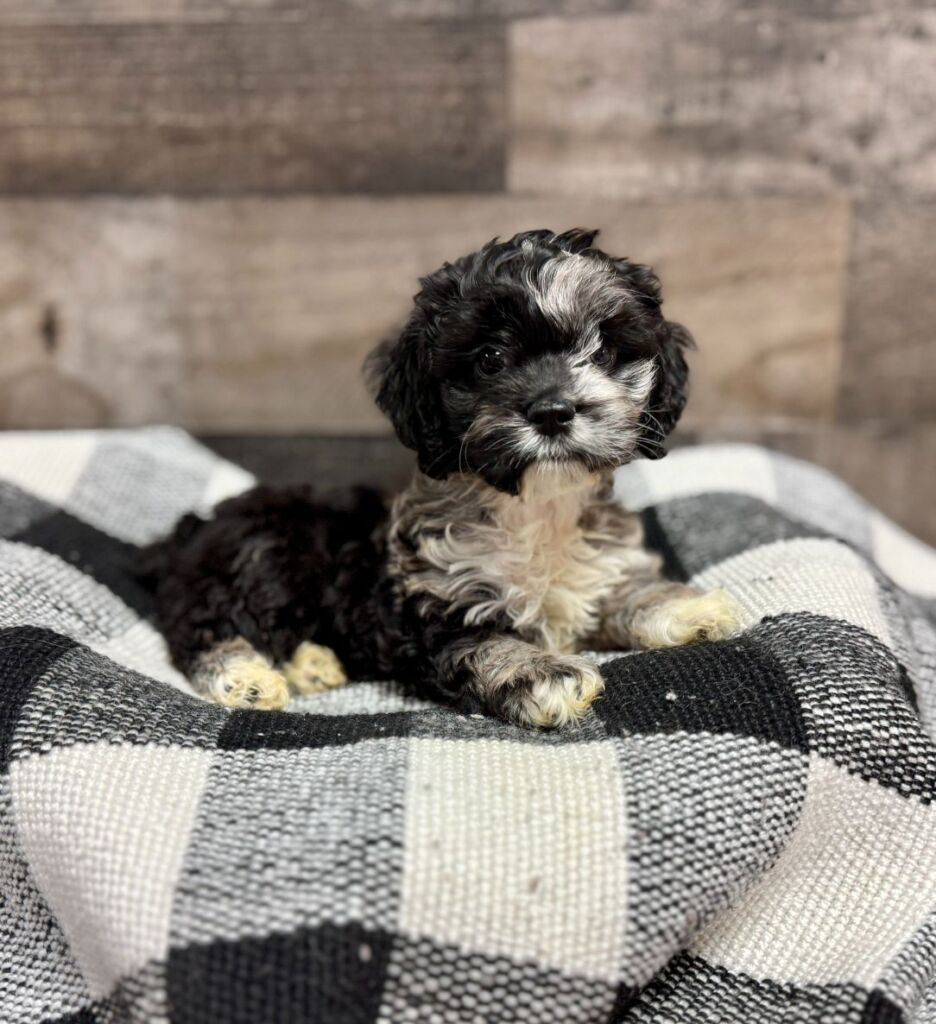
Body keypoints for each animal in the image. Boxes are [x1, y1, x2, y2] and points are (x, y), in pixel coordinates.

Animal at [147, 228, 740, 728]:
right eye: (490, 358)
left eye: (606, 350)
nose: (552, 411)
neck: (536, 506)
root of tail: (192, 531)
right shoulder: (428, 605)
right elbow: (486, 642)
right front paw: (542, 672)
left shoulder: (597, 566)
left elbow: (624, 589)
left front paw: (685, 606)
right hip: (263, 556)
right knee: (205, 628)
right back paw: (246, 678)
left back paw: (312, 663)